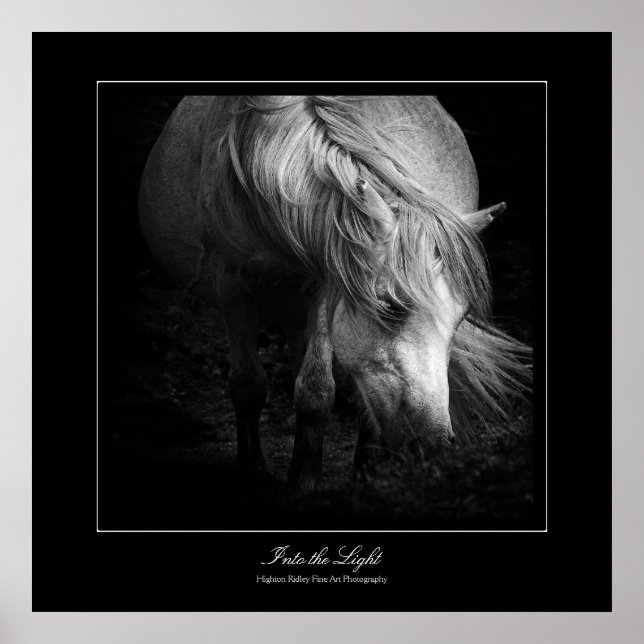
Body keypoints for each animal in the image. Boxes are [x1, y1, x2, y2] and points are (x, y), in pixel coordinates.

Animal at [139, 95, 531, 491]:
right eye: (389, 306)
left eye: (460, 320)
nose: (434, 444)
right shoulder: (233, 285)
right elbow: (248, 384)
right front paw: (254, 472)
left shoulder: (326, 289)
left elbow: (316, 390)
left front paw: (306, 480)